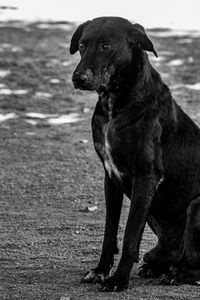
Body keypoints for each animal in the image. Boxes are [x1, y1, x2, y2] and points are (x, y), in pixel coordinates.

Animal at [69, 16, 200, 290]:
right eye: (83, 45)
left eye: (106, 46)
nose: (78, 78)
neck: (115, 104)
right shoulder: (110, 177)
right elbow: (110, 233)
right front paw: (101, 270)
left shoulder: (146, 177)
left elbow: (130, 236)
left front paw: (118, 279)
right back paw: (158, 267)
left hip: (196, 206)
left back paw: (178, 274)